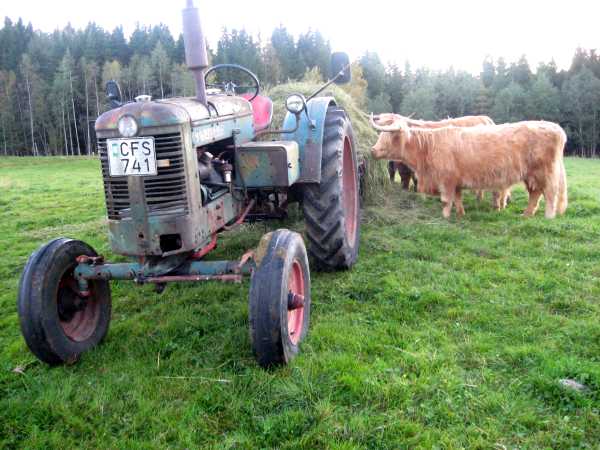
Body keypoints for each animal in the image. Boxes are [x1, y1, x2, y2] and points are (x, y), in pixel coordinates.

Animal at [370, 115, 568, 219]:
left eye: (388, 136)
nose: (373, 150)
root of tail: (555, 127)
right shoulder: (455, 181)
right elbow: (457, 198)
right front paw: (460, 213)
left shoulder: (446, 179)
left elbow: (446, 200)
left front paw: (445, 216)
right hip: (531, 174)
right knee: (535, 194)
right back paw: (526, 214)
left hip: (545, 172)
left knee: (550, 194)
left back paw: (548, 216)